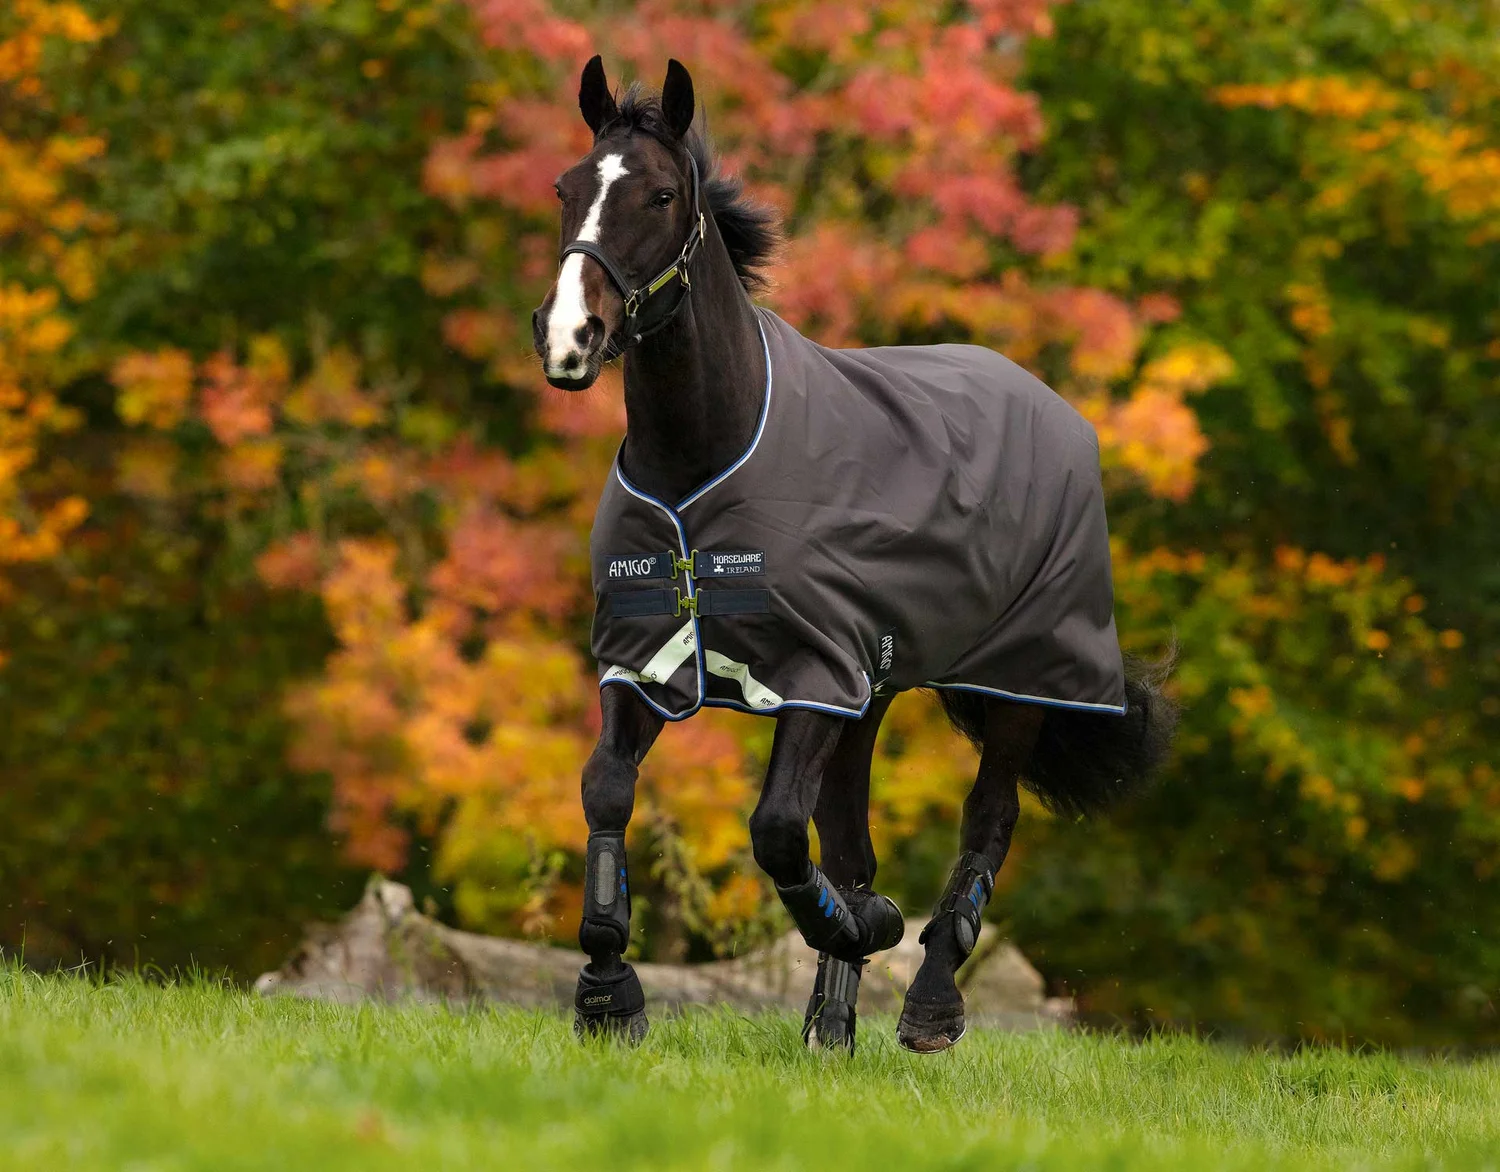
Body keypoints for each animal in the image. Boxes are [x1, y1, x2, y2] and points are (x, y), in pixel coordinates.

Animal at [531, 56, 1176, 1053]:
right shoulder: (645, 660)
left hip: (1017, 682)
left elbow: (776, 830)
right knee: (850, 837)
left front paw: (867, 926)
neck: (706, 458)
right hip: (871, 695)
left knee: (987, 821)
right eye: (567, 189)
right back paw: (831, 1020)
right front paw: (609, 994)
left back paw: (930, 1001)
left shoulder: (812, 673)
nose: (571, 338)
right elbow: (608, 792)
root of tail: (1051, 404)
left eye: (662, 195)